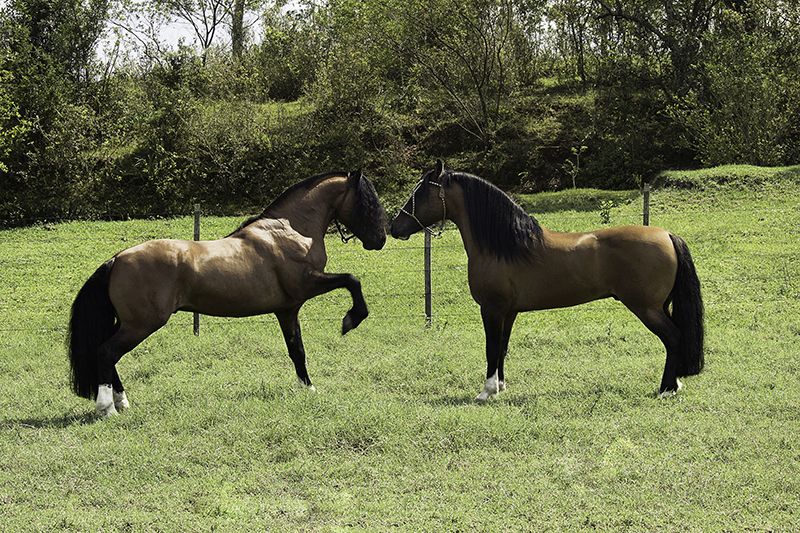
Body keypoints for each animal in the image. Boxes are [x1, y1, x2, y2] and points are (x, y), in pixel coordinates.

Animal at [67, 169, 386, 416]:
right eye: (367, 201)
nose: (380, 240)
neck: (290, 230)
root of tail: (117, 259)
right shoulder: (305, 285)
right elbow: (352, 280)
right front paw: (351, 319)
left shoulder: (287, 308)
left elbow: (297, 349)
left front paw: (307, 387)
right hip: (142, 324)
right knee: (107, 352)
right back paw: (107, 408)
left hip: (129, 323)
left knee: (107, 353)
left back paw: (122, 402)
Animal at [390, 160, 704, 402]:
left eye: (420, 193)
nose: (394, 228)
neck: (503, 245)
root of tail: (667, 235)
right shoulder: (509, 312)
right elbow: (502, 348)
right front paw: (500, 387)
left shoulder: (492, 309)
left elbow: (491, 347)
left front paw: (486, 392)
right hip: (661, 306)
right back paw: (674, 384)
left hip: (646, 308)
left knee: (673, 337)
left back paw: (666, 389)